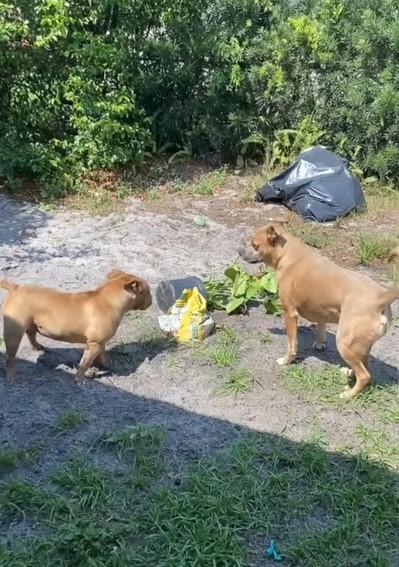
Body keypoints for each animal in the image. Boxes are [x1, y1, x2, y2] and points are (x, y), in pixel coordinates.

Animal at [0, 270, 152, 386]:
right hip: (13, 332)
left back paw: (37, 346)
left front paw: (104, 364)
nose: (151, 301)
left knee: (31, 333)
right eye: (148, 291)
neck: (109, 300)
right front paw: (80, 379)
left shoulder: (100, 342)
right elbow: (85, 363)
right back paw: (11, 377)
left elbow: (102, 354)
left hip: (31, 323)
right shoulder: (94, 344)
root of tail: (15, 288)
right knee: (10, 356)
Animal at [247, 226, 399, 400]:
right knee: (366, 368)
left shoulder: (290, 314)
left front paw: (286, 361)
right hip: (361, 345)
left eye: (255, 245)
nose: (239, 251)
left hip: (345, 344)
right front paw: (320, 344)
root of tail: (381, 296)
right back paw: (350, 374)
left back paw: (348, 394)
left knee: (365, 375)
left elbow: (292, 345)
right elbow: (320, 329)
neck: (290, 255)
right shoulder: (320, 312)